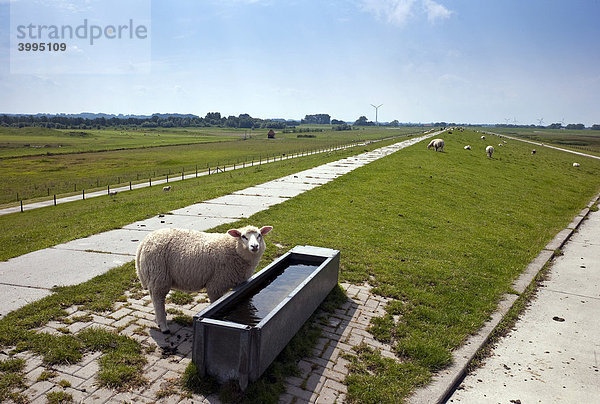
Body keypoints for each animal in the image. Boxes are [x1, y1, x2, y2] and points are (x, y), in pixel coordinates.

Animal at [135, 224, 272, 332]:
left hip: (154, 276)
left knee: (154, 297)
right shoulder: (216, 284)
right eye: (243, 236)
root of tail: (144, 242)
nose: (254, 246)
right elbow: (215, 302)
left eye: (259, 235)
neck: (234, 249)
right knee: (158, 299)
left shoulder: (241, 283)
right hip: (158, 274)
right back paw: (163, 326)